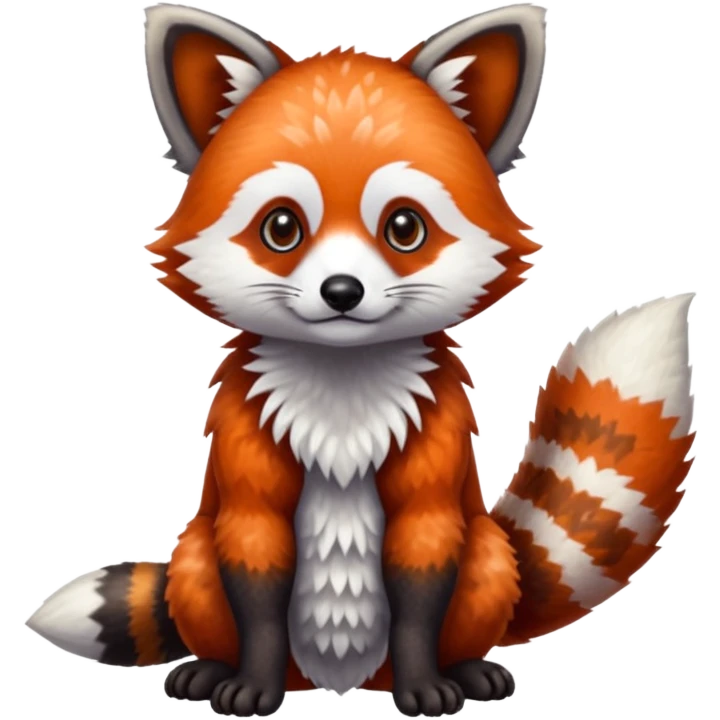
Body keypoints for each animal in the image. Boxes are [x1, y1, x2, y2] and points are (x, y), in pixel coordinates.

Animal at [25, 3, 698, 718]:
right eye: (281, 228)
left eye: (404, 228)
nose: (341, 292)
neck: (341, 379)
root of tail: (338, 680)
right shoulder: (248, 437)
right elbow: (256, 560)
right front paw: (251, 680)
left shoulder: (431, 439)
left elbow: (420, 563)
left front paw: (425, 682)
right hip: (196, 561)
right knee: (203, 566)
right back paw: (212, 668)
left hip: (487, 563)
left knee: (481, 565)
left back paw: (466, 670)